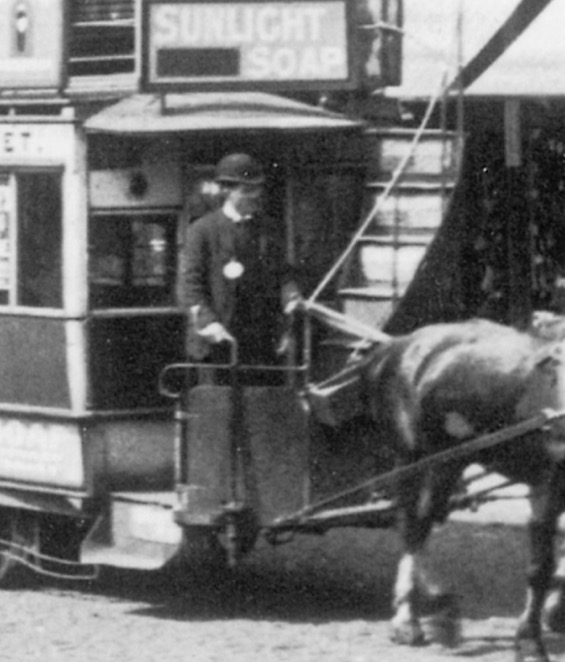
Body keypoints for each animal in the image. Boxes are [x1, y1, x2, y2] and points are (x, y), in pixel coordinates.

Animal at [356, 316, 565, 662]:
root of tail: (396, 345)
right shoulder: (547, 485)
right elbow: (540, 569)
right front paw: (530, 642)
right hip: (411, 457)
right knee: (411, 526)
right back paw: (408, 619)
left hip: (450, 461)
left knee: (426, 520)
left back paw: (438, 603)